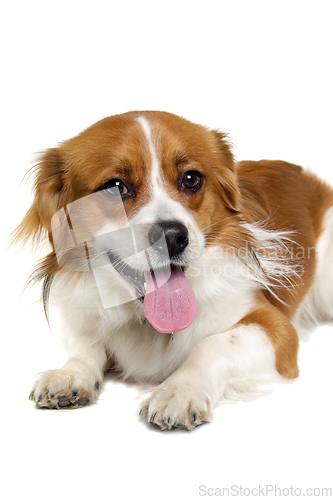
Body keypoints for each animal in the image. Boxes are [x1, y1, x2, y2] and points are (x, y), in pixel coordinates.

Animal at [15, 110, 332, 430]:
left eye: (191, 179)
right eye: (115, 186)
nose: (171, 236)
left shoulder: (277, 330)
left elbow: (213, 344)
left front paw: (180, 390)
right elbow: (86, 342)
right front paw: (71, 373)